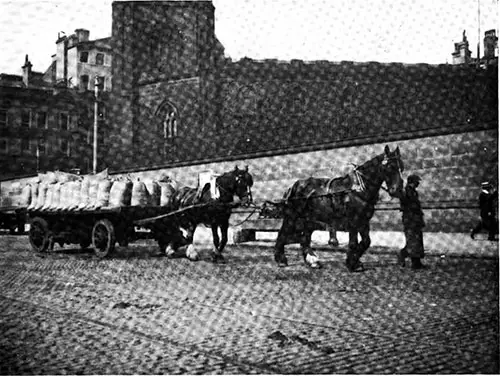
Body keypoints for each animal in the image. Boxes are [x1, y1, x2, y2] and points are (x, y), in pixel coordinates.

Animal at [276, 145, 404, 272]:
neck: (358, 189)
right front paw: (353, 264)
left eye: (401, 167)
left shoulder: (363, 221)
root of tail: (293, 186)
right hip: (292, 217)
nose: (397, 190)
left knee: (304, 239)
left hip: (309, 220)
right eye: (390, 167)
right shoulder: (353, 221)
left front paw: (354, 261)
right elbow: (353, 243)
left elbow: (366, 242)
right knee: (283, 234)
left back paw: (312, 261)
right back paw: (281, 259)